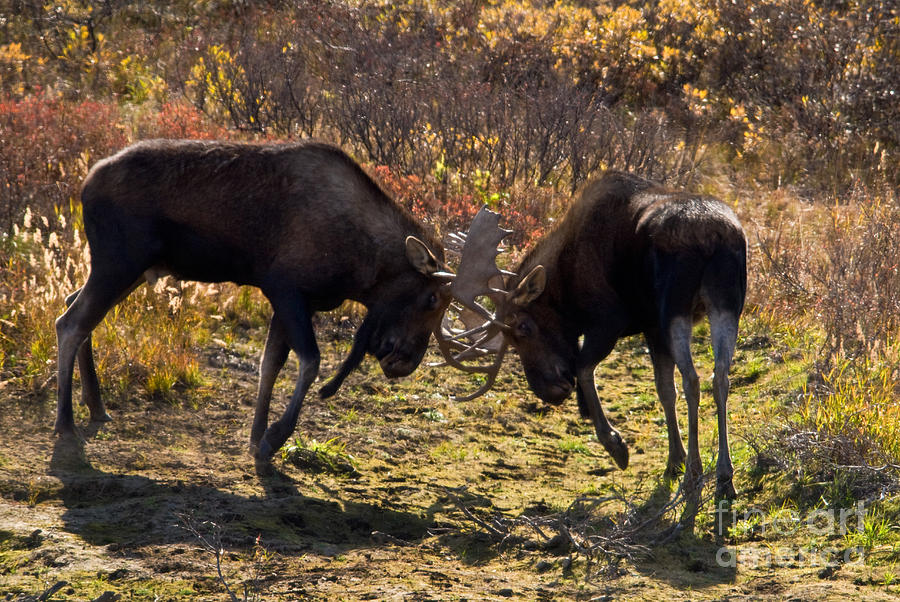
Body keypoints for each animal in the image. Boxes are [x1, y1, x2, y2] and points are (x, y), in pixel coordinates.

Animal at [55, 138, 458, 462]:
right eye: (432, 298)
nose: (406, 362)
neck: (362, 265)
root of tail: (86, 182)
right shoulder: (285, 289)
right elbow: (309, 362)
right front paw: (274, 438)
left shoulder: (295, 302)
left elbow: (271, 365)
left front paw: (256, 434)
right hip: (119, 262)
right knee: (70, 323)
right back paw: (66, 424)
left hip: (132, 269)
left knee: (75, 306)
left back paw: (96, 407)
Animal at [440, 171, 748, 500]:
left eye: (523, 327)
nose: (548, 391)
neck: (565, 285)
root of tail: (713, 237)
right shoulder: (651, 327)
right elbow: (665, 391)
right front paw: (673, 461)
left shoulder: (609, 321)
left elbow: (585, 368)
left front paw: (616, 445)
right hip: (726, 303)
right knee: (720, 376)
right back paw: (724, 477)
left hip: (675, 308)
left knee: (693, 378)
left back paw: (695, 475)